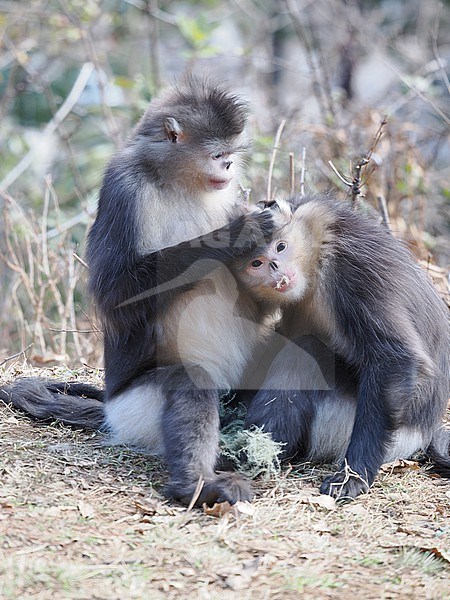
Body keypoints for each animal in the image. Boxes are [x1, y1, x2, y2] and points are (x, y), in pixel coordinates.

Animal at [0, 78, 276, 506]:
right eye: (218, 154)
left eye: (231, 156)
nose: (229, 167)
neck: (178, 183)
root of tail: (112, 414)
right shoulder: (124, 186)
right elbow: (116, 294)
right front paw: (235, 236)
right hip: (137, 408)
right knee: (190, 379)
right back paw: (197, 484)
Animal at [232, 195, 450, 500]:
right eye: (257, 263)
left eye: (281, 247)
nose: (275, 267)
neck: (317, 251)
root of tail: (422, 432)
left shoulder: (353, 269)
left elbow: (396, 359)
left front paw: (354, 475)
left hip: (348, 421)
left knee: (304, 354)